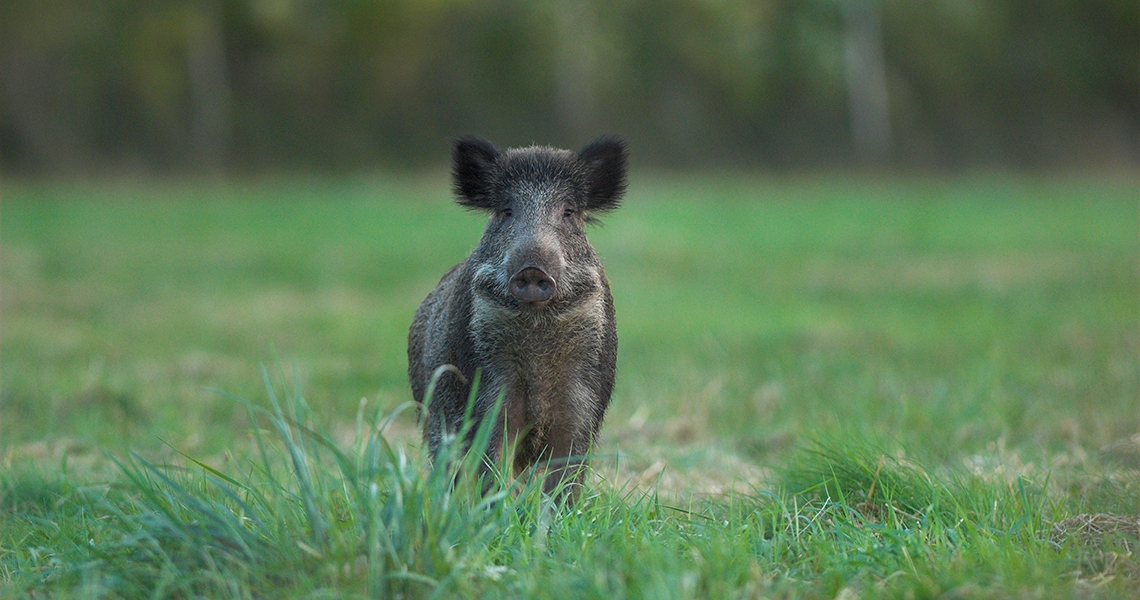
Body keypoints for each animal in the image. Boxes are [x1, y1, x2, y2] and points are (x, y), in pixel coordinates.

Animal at [407, 135, 626, 504]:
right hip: (434, 415)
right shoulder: (488, 393)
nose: (533, 270)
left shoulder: (583, 402)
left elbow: (566, 474)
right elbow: (492, 459)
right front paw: (497, 509)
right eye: (506, 211)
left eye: (568, 212)